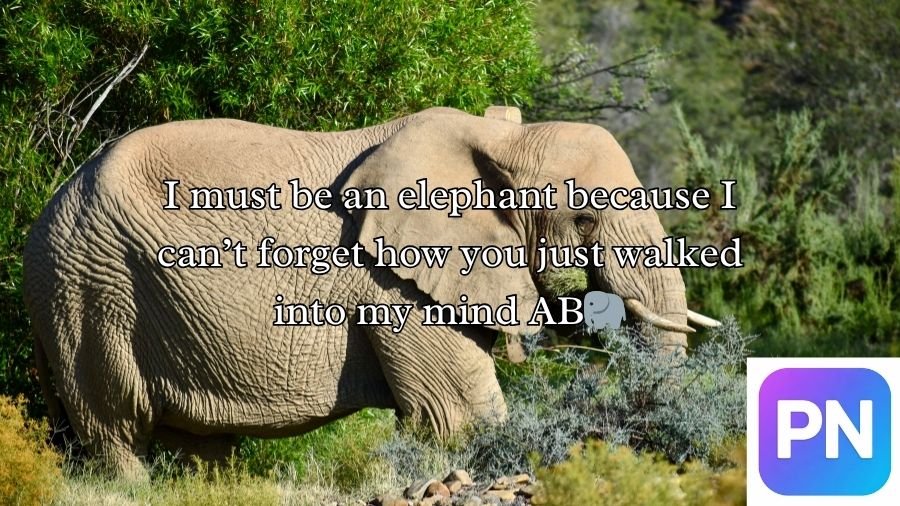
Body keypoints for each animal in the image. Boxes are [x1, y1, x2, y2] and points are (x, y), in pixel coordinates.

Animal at [24, 105, 720, 477]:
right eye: (585, 217)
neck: (497, 140)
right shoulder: (391, 282)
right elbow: (459, 418)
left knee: (197, 447)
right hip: (89, 289)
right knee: (115, 432)